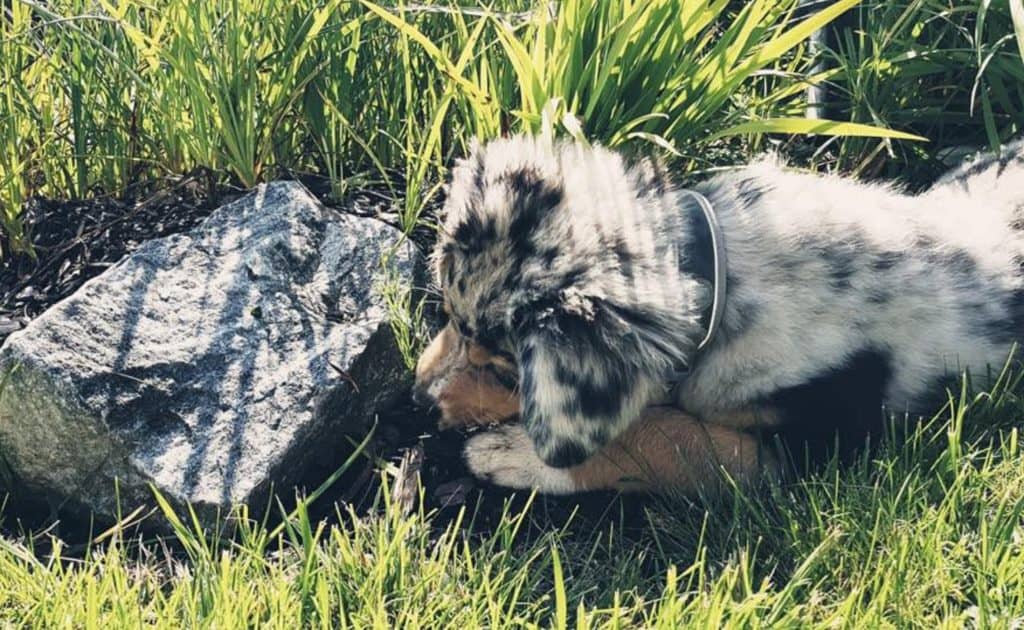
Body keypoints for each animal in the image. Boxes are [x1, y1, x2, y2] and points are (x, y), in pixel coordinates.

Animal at [411, 135, 1019, 495]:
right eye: (448, 316)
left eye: (506, 373)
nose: (416, 400)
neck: (722, 278)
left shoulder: (806, 446)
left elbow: (672, 437)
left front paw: (506, 453)